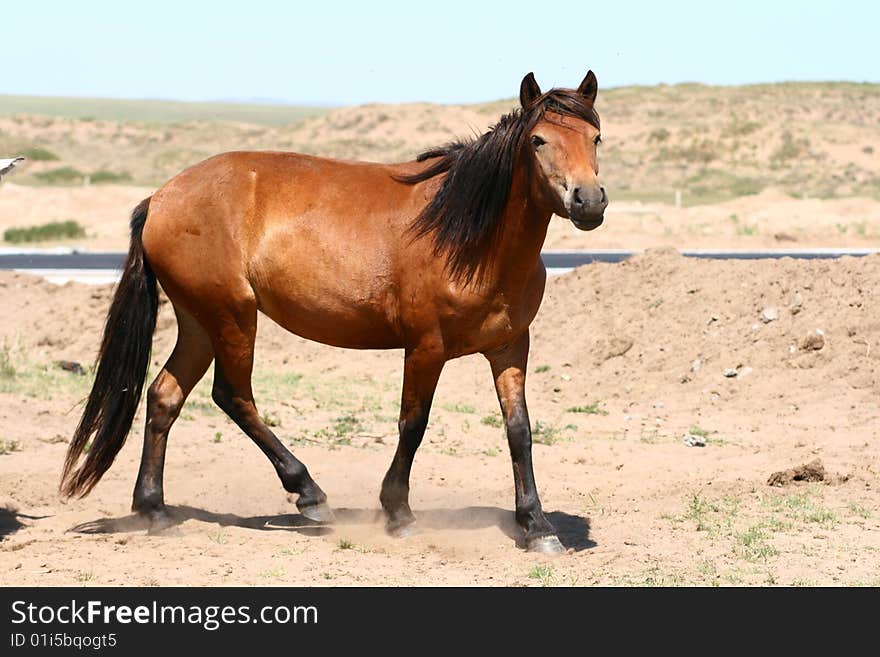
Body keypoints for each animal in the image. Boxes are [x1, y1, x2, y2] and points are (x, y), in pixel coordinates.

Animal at [60, 70, 604, 552]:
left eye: (596, 137)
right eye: (538, 140)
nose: (589, 200)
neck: (471, 239)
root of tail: (160, 198)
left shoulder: (510, 347)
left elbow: (520, 432)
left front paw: (537, 527)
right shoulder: (426, 347)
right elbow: (413, 423)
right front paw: (398, 513)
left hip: (199, 323)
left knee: (164, 397)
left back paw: (155, 510)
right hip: (232, 316)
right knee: (232, 395)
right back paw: (310, 495)